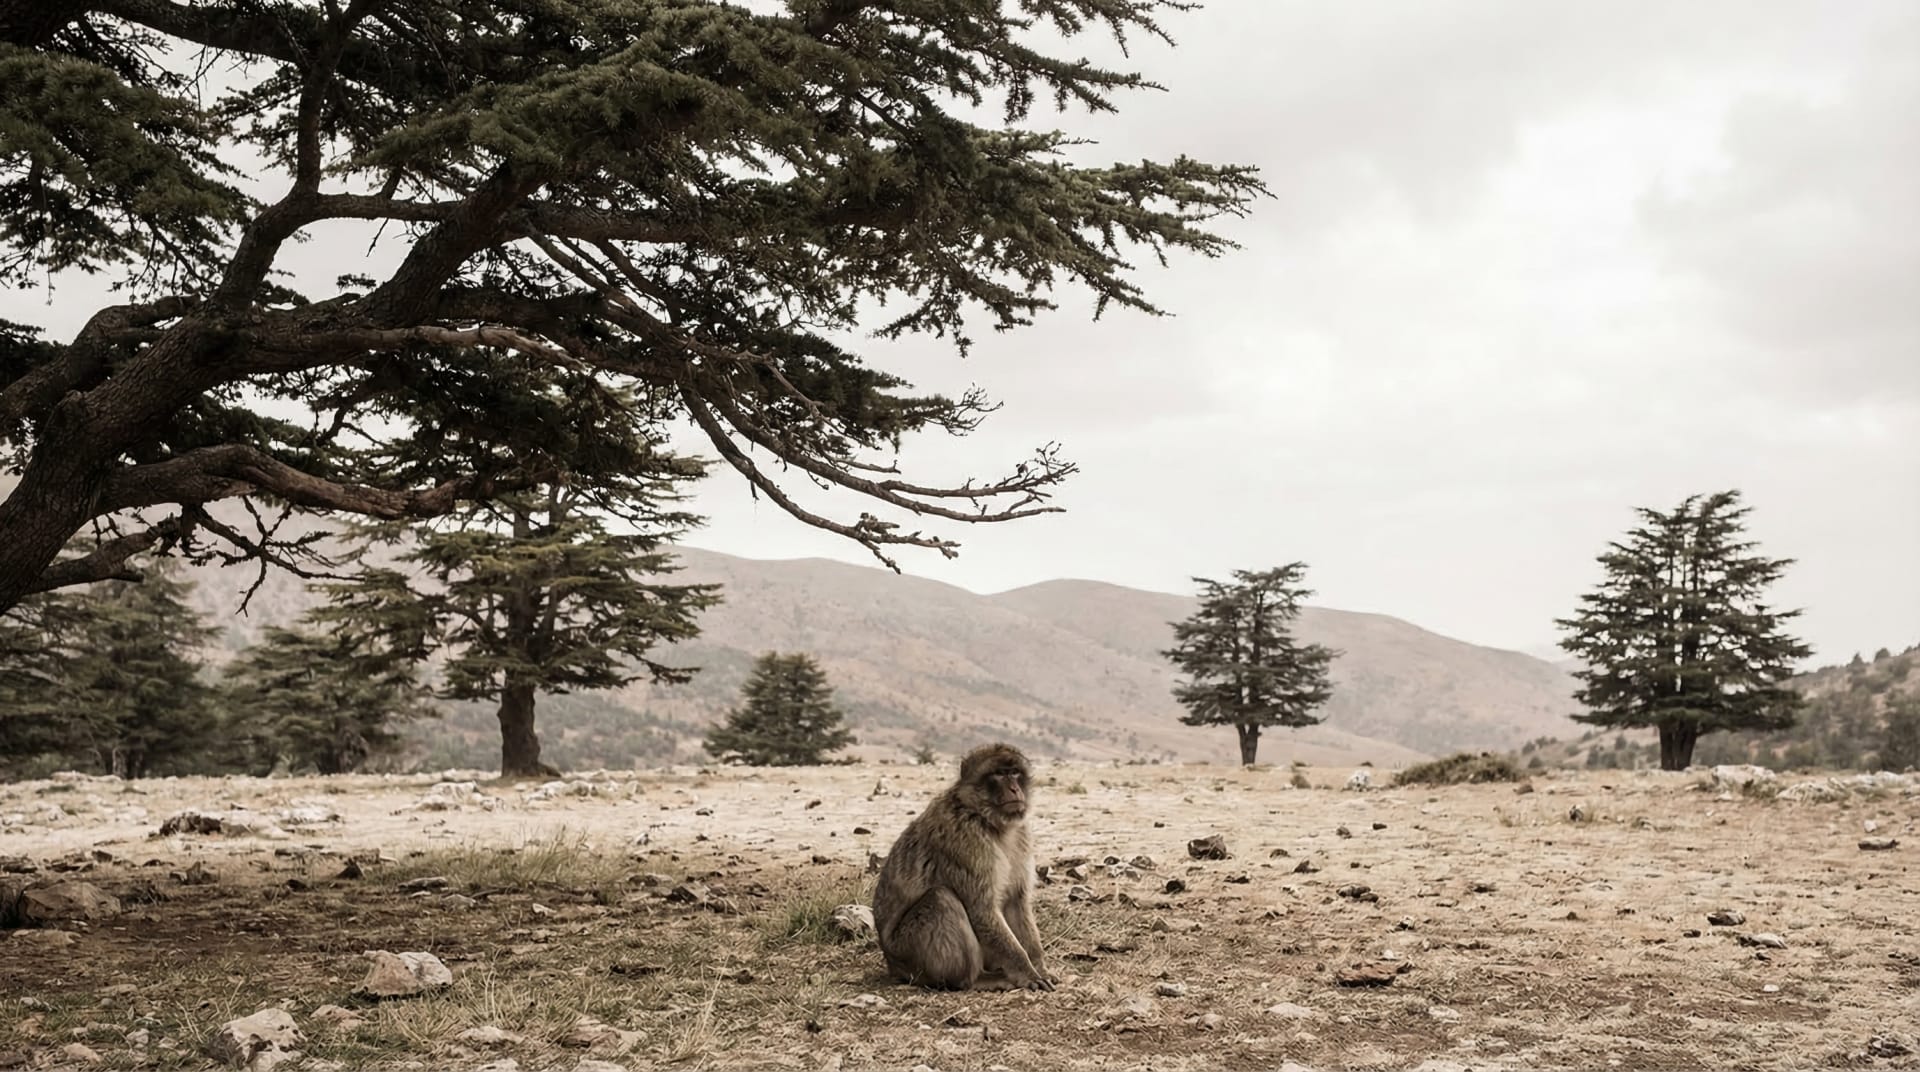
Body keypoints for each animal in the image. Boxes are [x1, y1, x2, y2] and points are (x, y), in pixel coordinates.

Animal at [870, 743, 1056, 991]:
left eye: (1015, 772)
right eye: (999, 774)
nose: (1015, 788)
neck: (988, 820)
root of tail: (892, 965)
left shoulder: (1021, 834)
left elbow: (1017, 901)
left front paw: (1039, 966)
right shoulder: (967, 841)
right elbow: (982, 910)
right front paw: (1027, 972)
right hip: (909, 954)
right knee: (941, 898)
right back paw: (975, 979)